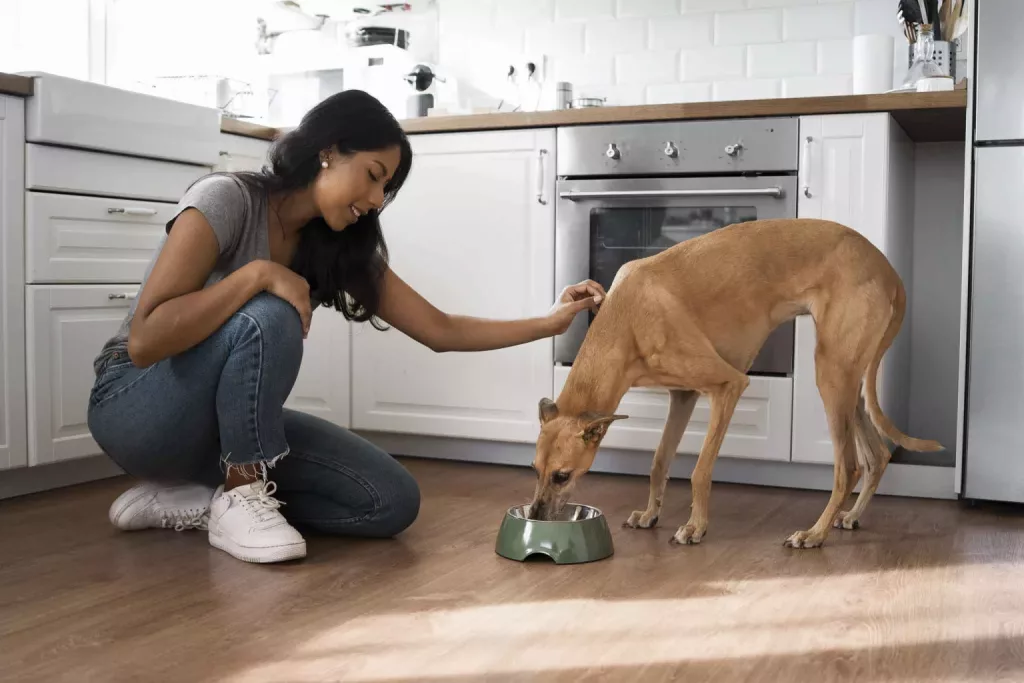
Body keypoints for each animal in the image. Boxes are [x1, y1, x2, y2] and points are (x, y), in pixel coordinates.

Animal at [528, 219, 942, 548]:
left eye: (562, 476)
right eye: (534, 469)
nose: (535, 516)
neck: (626, 319)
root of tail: (888, 270)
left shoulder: (728, 386)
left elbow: (700, 471)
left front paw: (695, 527)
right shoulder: (682, 396)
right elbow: (659, 461)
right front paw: (650, 515)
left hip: (832, 375)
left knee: (849, 468)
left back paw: (814, 534)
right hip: (848, 381)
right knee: (878, 456)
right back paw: (851, 516)